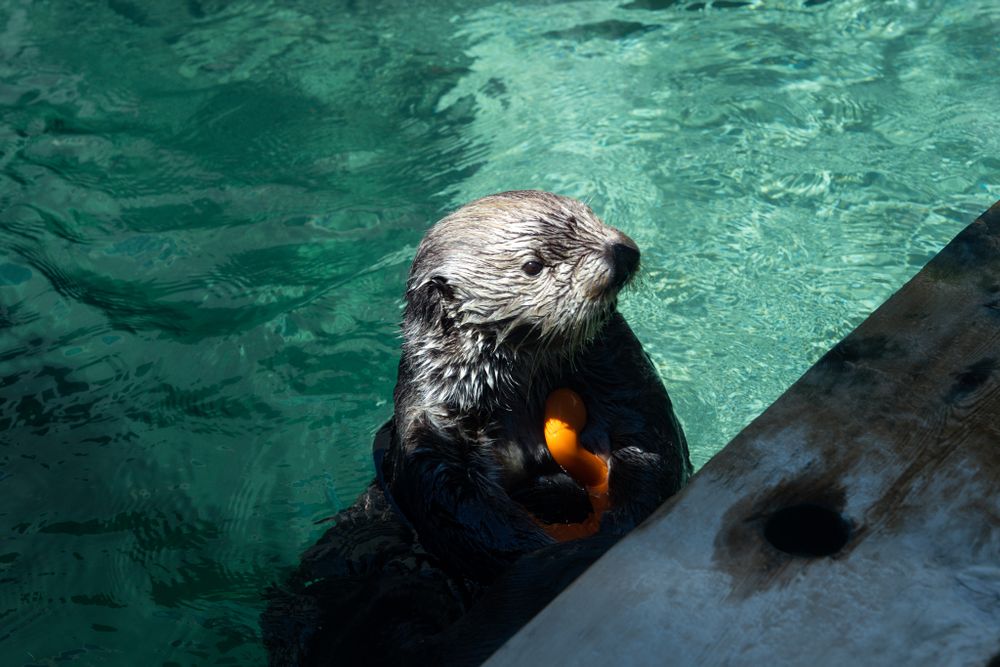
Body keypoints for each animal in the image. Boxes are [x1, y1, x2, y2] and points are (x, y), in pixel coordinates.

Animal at [263, 190, 691, 665]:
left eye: (590, 214)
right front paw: (546, 547)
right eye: (533, 265)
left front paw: (623, 513)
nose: (620, 252)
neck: (521, 393)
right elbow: (460, 510)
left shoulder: (618, 366)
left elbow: (647, 430)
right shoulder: (430, 430)